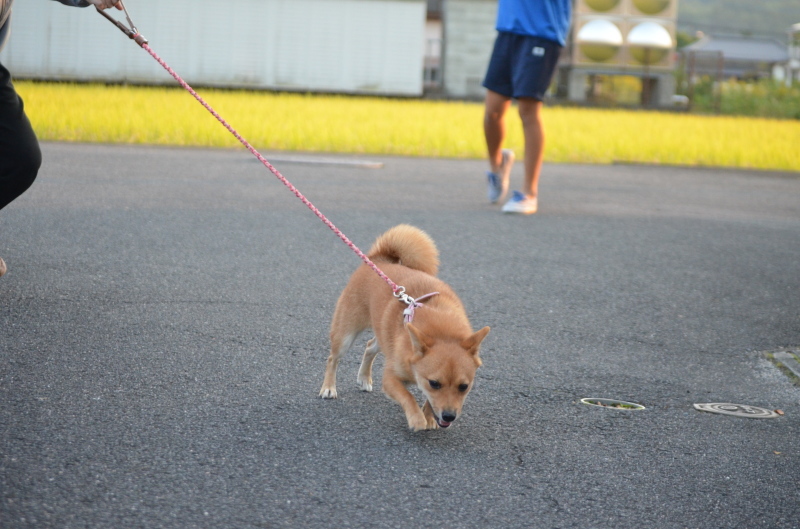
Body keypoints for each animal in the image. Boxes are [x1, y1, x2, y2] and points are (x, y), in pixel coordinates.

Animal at [318, 225, 488, 432]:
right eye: (434, 383)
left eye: (464, 386)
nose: (449, 416)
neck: (442, 332)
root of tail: (379, 260)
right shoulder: (390, 378)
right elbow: (408, 396)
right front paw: (417, 418)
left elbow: (428, 401)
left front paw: (429, 416)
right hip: (346, 334)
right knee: (333, 358)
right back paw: (328, 387)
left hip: (383, 336)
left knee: (369, 347)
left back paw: (364, 378)